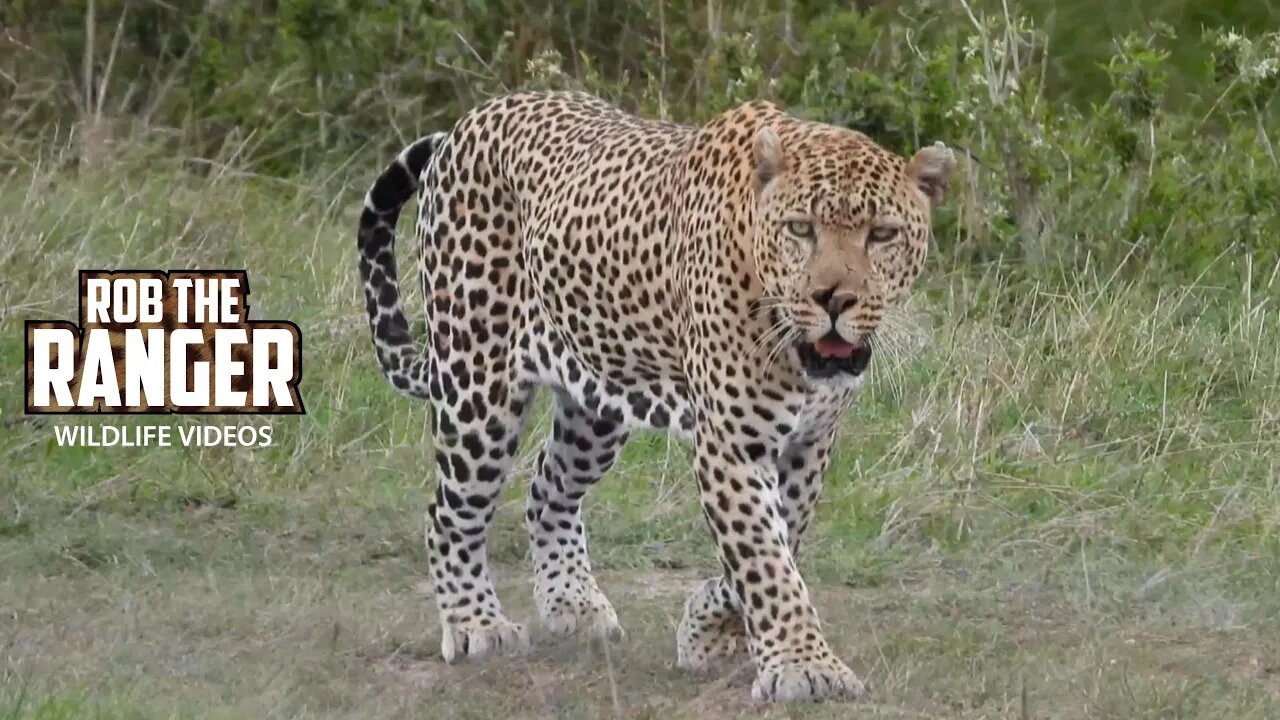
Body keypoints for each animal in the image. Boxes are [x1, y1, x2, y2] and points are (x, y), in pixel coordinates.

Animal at [355, 90, 957, 702]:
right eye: (800, 229)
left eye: (882, 234)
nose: (833, 298)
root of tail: (472, 119)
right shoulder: (734, 444)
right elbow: (765, 560)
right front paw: (802, 665)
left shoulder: (808, 444)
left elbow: (776, 545)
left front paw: (709, 633)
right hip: (477, 386)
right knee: (450, 513)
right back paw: (476, 623)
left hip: (595, 407)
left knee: (547, 489)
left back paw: (572, 603)